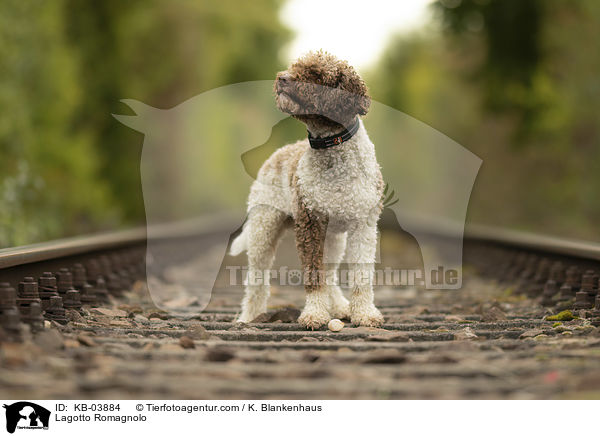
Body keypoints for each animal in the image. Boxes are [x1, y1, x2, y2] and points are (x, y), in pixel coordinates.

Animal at [230, 51, 384, 328]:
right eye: (295, 66)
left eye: (316, 75)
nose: (282, 77)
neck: (332, 149)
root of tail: (281, 151)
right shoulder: (310, 224)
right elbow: (313, 275)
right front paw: (315, 313)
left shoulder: (363, 225)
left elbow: (361, 275)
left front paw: (364, 313)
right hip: (263, 228)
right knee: (256, 279)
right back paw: (249, 316)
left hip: (334, 237)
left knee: (331, 273)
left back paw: (341, 306)